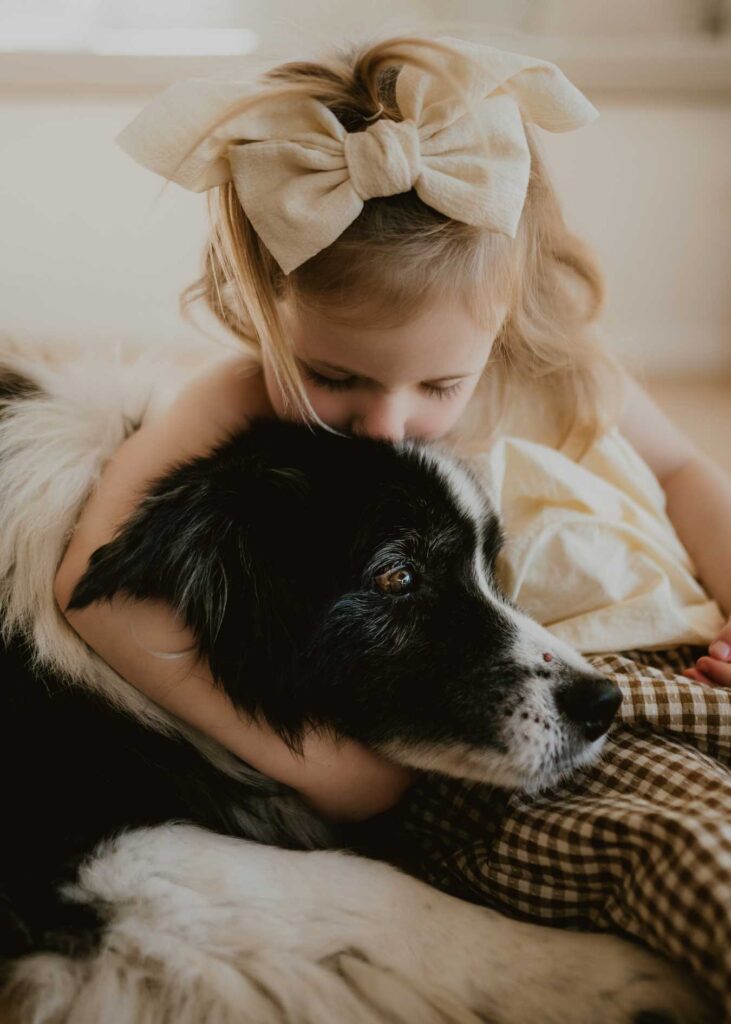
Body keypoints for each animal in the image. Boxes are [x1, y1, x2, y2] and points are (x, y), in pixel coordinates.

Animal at [0, 346, 708, 1024]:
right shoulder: (91, 848)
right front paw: (614, 974)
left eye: (490, 566)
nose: (604, 703)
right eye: (397, 577)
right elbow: (382, 893)